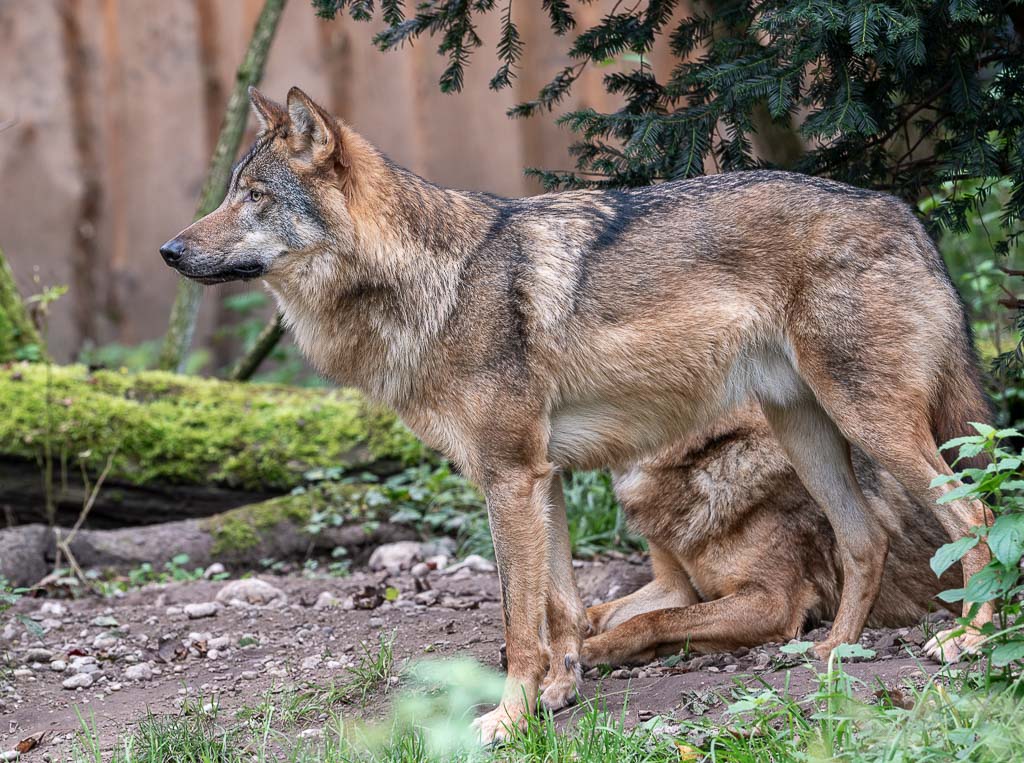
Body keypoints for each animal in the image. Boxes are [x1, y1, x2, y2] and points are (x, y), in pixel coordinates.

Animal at [581, 403, 963, 667]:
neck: (709, 456)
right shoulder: (673, 585)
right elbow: (602, 612)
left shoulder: (772, 603)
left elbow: (653, 620)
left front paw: (593, 650)